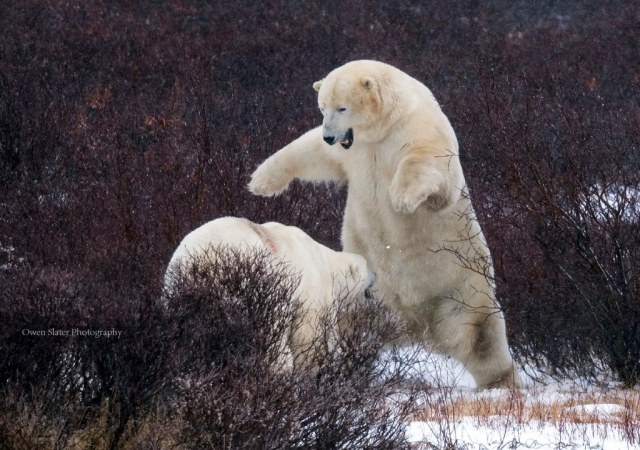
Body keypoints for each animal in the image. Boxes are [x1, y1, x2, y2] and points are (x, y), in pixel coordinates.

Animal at [164, 216, 375, 368]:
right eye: (367, 266)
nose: (375, 276)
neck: (325, 261)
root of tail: (202, 264)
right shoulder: (312, 291)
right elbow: (310, 336)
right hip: (256, 290)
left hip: (177, 293)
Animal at [248, 60, 522, 390]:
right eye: (322, 107)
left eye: (342, 107)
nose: (330, 135)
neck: (383, 128)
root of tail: (417, 329)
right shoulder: (351, 150)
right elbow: (311, 151)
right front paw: (260, 181)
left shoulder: (416, 130)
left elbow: (429, 165)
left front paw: (400, 198)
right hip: (367, 298)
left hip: (461, 294)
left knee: (481, 340)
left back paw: (501, 384)